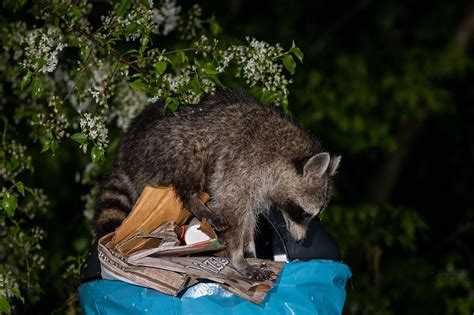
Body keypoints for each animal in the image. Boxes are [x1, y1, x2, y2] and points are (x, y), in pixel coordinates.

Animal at [94, 90, 338, 280]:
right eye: (305, 213)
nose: (301, 240)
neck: (283, 152)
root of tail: (123, 156)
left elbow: (249, 216)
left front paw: (249, 248)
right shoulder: (244, 165)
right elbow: (232, 209)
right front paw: (238, 258)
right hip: (165, 149)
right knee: (190, 163)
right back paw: (195, 202)